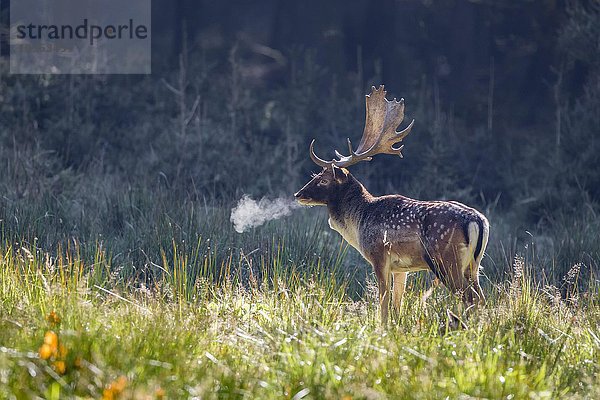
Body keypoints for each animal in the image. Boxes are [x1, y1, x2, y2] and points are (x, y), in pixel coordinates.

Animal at [294, 86, 488, 324]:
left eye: (323, 180)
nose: (298, 194)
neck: (359, 222)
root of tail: (478, 220)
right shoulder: (401, 268)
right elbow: (398, 305)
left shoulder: (379, 256)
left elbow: (384, 303)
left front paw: (382, 328)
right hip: (473, 264)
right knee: (481, 298)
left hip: (445, 259)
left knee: (470, 298)